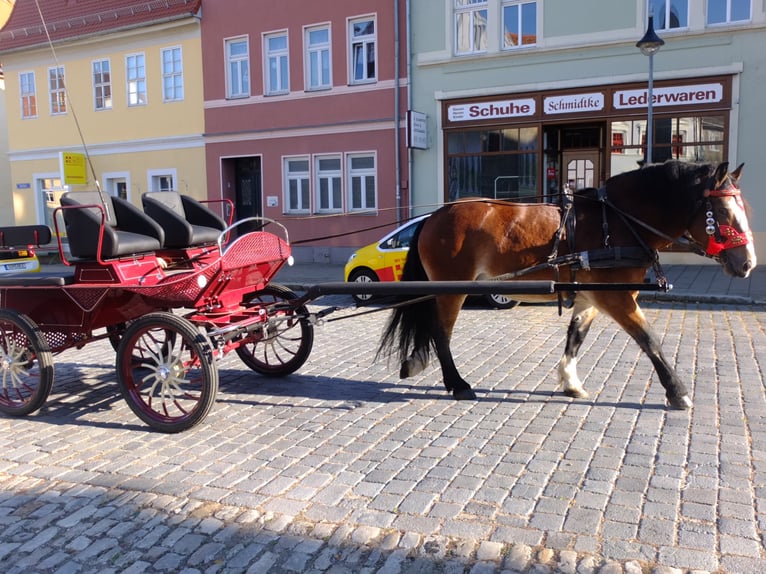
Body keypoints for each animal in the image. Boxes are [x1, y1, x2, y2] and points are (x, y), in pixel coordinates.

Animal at [378, 162, 756, 410]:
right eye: (722, 212)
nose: (748, 263)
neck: (618, 222)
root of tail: (434, 216)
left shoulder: (593, 298)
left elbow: (576, 337)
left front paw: (570, 382)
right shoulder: (618, 300)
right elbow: (650, 340)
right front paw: (677, 391)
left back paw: (418, 362)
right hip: (452, 288)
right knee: (441, 333)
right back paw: (457, 384)